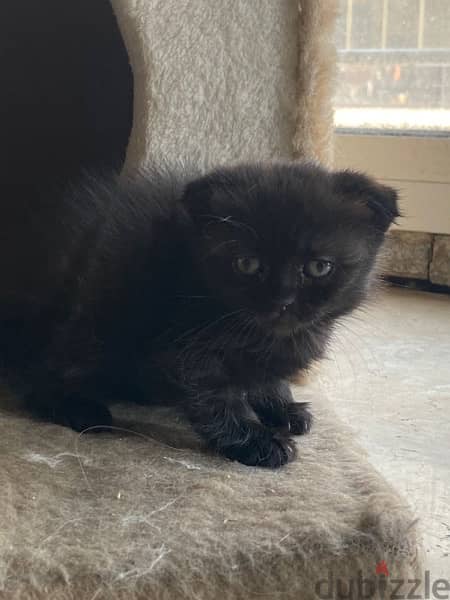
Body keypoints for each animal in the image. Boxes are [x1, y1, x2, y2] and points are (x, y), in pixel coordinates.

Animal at [0, 162, 398, 466]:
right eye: (247, 263)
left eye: (318, 267)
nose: (282, 300)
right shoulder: (184, 346)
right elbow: (216, 396)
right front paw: (255, 440)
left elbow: (265, 379)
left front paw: (281, 407)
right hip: (89, 316)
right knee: (41, 376)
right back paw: (80, 408)